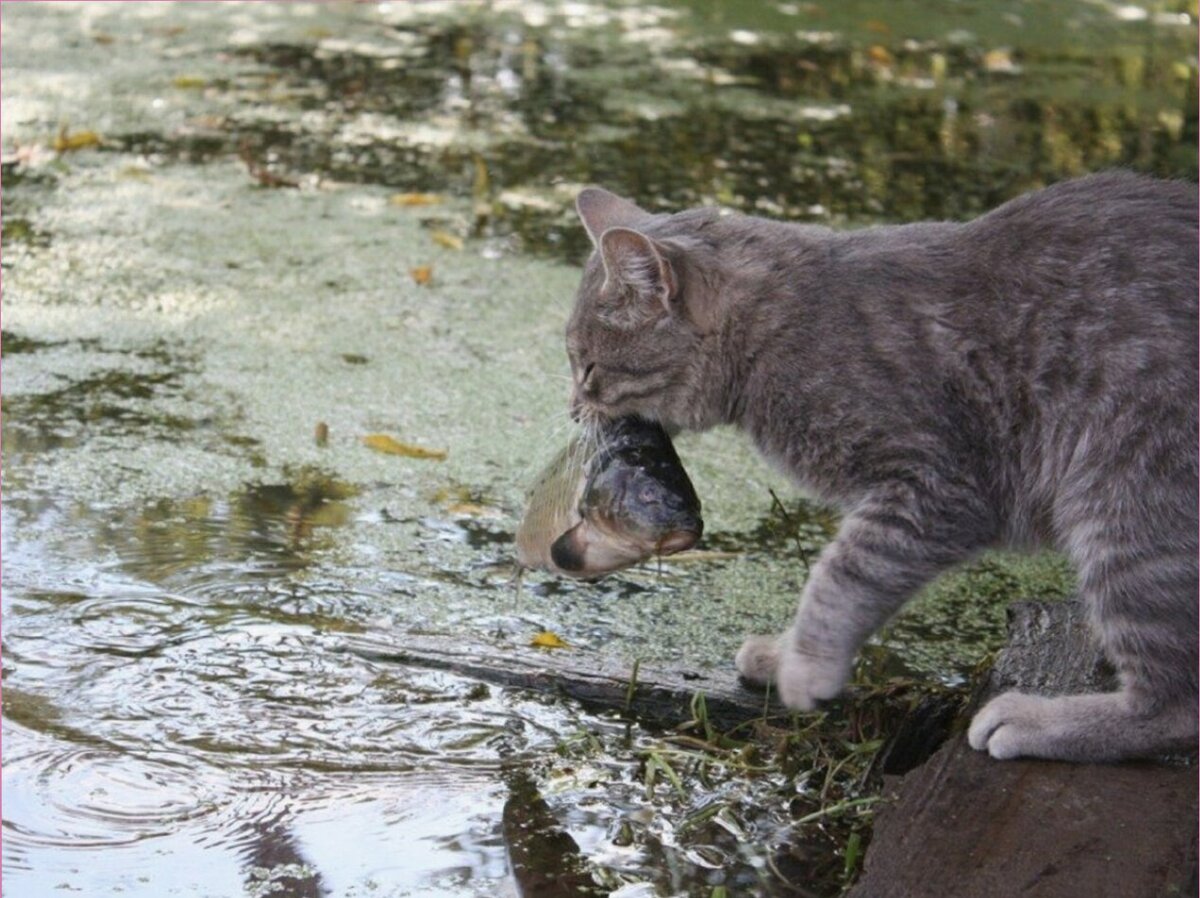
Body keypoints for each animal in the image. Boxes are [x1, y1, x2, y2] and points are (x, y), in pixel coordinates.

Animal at [564, 171, 1200, 763]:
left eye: (588, 367)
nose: (573, 409)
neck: (781, 327)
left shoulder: (937, 487)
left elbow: (840, 577)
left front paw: (805, 665)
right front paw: (784, 652)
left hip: (1127, 504)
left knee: (1174, 707)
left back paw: (1039, 721)